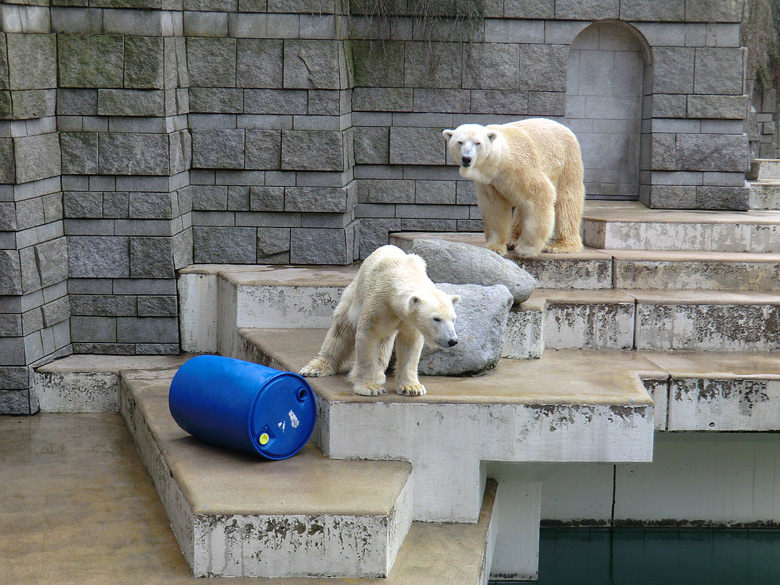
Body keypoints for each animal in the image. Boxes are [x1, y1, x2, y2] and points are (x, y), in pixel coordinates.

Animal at [298, 244, 458, 394]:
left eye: (453, 319)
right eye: (436, 318)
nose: (453, 340)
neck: (404, 271)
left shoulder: (408, 319)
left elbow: (410, 343)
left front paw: (412, 387)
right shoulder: (380, 302)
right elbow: (369, 335)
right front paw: (369, 387)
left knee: (384, 342)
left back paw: (378, 373)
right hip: (354, 296)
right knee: (341, 330)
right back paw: (316, 368)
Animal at [444, 117, 584, 256]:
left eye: (477, 143)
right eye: (460, 142)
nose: (466, 158)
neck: (501, 159)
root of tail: (563, 126)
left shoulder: (521, 165)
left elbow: (540, 193)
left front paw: (527, 248)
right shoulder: (490, 181)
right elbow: (494, 207)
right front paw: (494, 247)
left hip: (567, 160)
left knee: (567, 201)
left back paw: (560, 245)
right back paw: (512, 240)